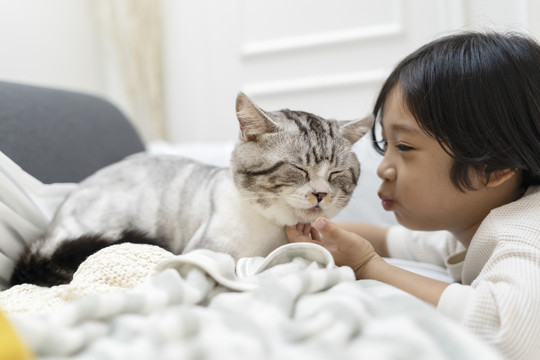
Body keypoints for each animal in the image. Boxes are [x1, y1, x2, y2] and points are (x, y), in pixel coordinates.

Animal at [10, 93, 374, 286]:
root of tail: (46, 237)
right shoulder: (206, 249)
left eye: (336, 174)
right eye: (299, 169)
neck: (272, 234)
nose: (320, 194)